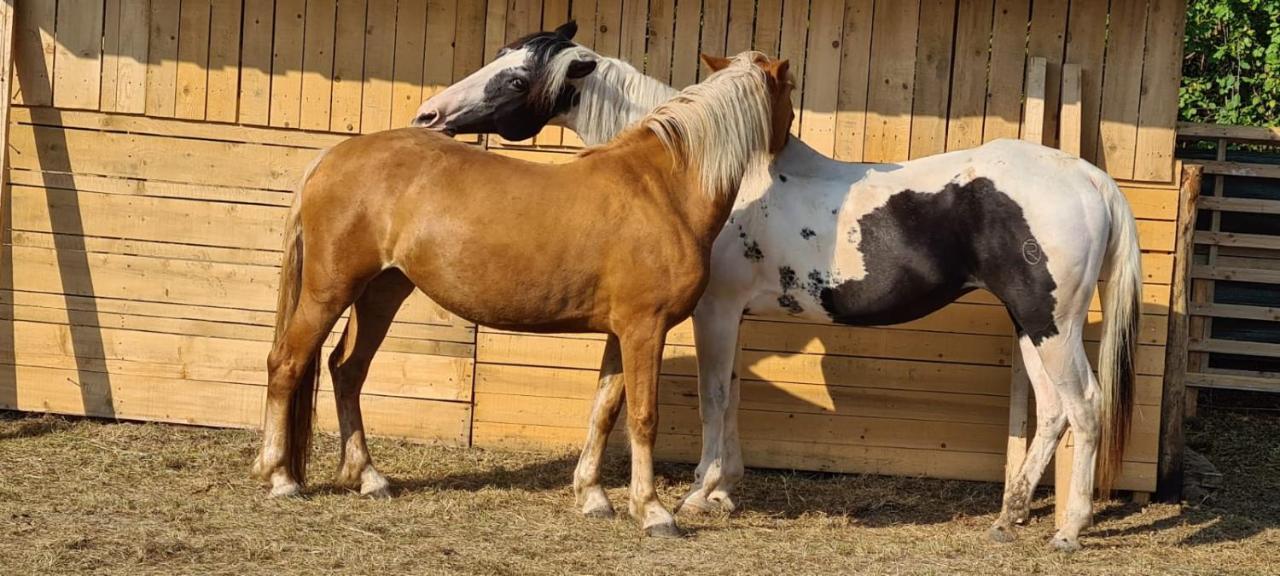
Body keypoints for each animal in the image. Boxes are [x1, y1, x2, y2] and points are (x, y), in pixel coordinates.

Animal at [248, 52, 788, 535]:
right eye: (791, 91)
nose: (787, 146)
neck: (663, 189)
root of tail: (332, 156)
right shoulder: (644, 328)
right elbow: (642, 416)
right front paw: (653, 512)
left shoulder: (622, 331)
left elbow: (604, 410)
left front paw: (593, 498)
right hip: (330, 288)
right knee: (286, 363)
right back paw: (280, 477)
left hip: (381, 291)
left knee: (347, 369)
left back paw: (367, 478)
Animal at [417, 23, 1141, 552]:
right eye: (498, 57)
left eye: (515, 76)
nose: (429, 115)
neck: (700, 169)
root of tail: (1091, 180)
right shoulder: (729, 315)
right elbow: (730, 396)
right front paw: (720, 491)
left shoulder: (712, 311)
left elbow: (712, 399)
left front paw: (695, 495)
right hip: (1031, 324)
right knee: (1053, 411)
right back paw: (1010, 517)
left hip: (1049, 324)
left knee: (1085, 407)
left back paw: (1069, 530)